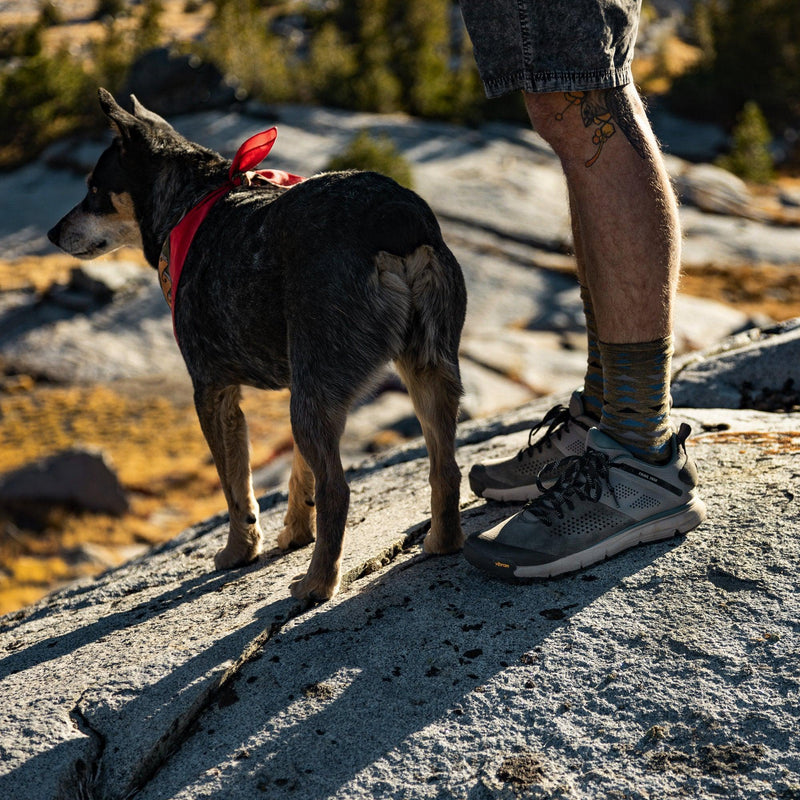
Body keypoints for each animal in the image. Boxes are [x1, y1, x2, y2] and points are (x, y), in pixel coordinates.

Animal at [47, 87, 466, 600]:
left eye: (93, 190)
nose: (52, 233)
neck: (193, 203)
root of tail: (396, 218)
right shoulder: (296, 380)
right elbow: (298, 475)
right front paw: (295, 533)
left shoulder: (213, 390)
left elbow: (235, 487)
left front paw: (239, 551)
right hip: (424, 367)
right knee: (445, 467)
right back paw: (442, 542)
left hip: (318, 388)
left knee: (338, 490)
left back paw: (316, 584)